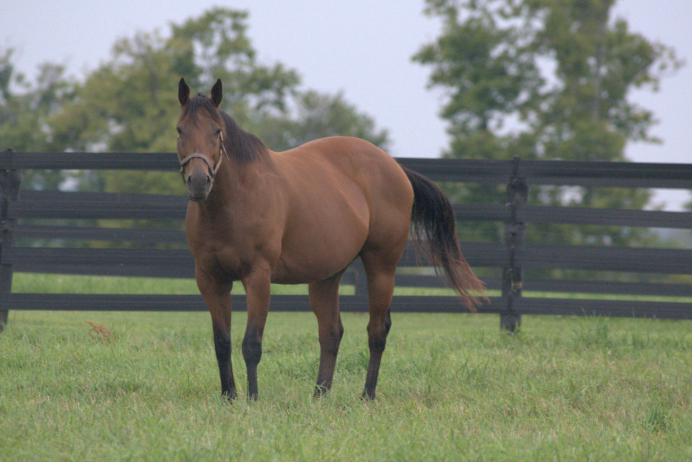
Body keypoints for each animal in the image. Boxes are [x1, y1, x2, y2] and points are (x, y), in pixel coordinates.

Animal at [176, 78, 486, 400]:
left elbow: (251, 344)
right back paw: (319, 396)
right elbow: (221, 342)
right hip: (326, 277)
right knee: (331, 332)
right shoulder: (211, 280)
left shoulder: (257, 277)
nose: (198, 182)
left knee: (377, 331)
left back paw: (367, 395)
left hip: (381, 267)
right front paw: (229, 398)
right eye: (180, 130)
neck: (234, 200)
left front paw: (252, 399)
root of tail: (395, 167)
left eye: (217, 131)